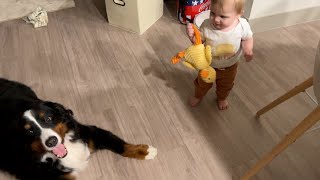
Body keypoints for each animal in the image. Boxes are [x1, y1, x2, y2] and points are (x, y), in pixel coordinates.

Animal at [0, 78, 158, 180]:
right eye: (29, 131)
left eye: (48, 118)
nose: (51, 141)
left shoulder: (91, 133)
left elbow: (119, 145)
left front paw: (145, 151)